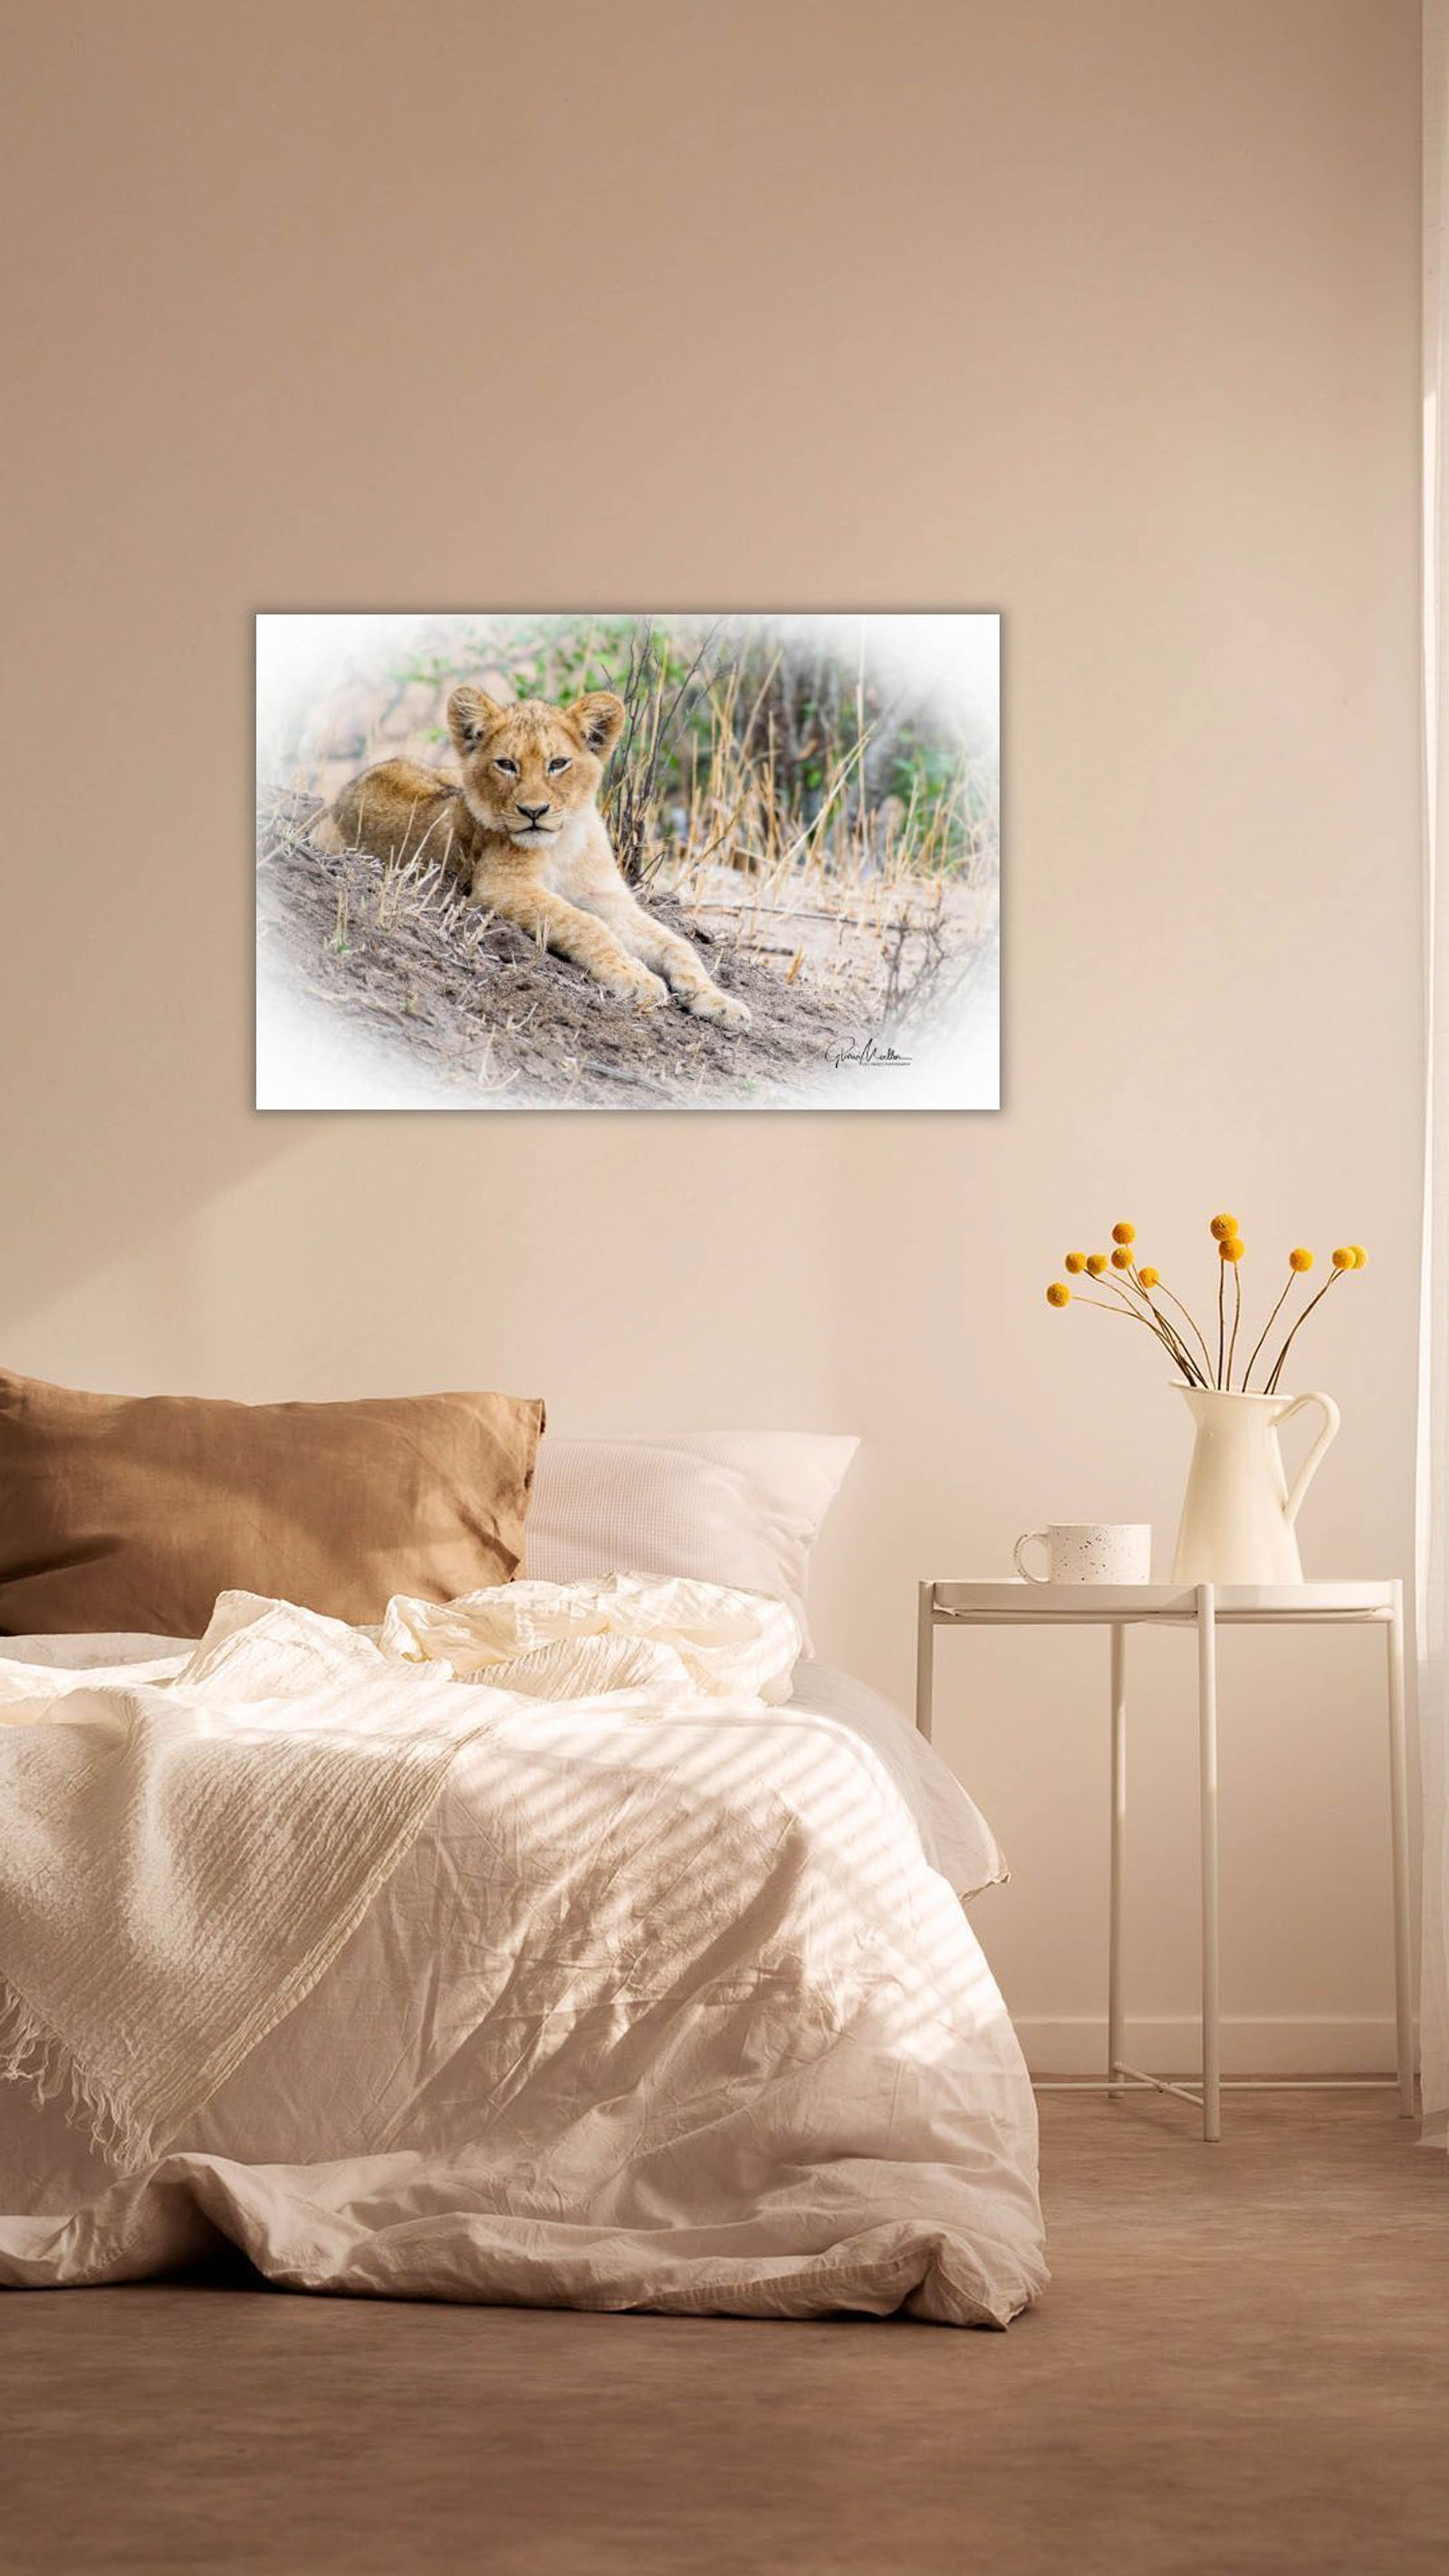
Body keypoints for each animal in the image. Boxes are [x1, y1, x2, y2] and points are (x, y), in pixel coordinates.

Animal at [309, 687, 750, 1028]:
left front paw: (720, 1001)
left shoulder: (612, 901)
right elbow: (585, 924)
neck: (566, 843)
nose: (533, 811)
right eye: (506, 764)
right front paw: (634, 975)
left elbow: (678, 944)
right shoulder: (500, 886)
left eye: (558, 764)